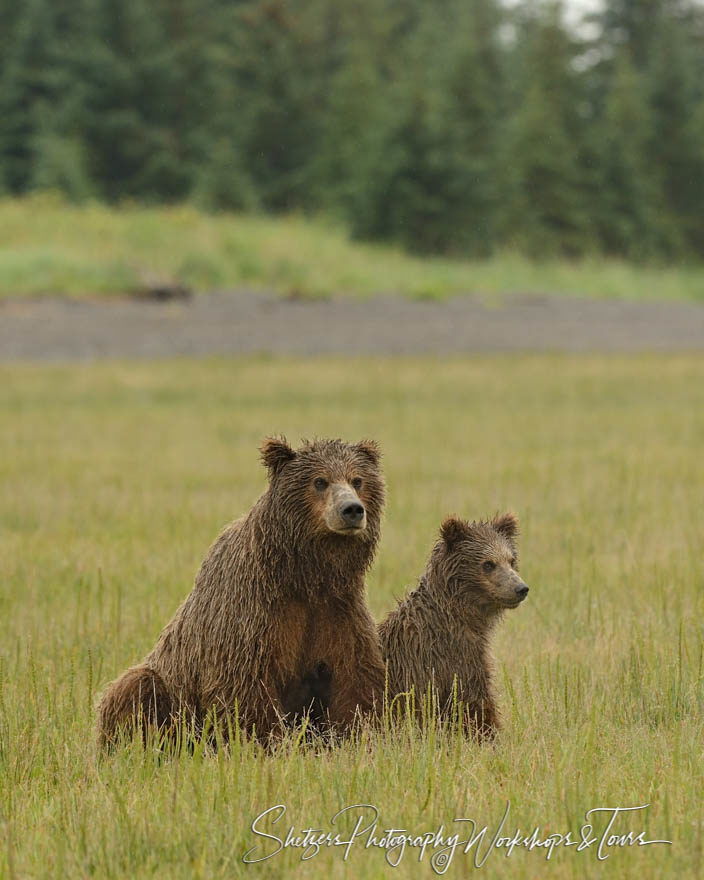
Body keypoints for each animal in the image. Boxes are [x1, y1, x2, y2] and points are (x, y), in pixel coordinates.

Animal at [96, 436, 384, 744]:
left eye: (357, 480)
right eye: (320, 481)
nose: (352, 509)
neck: (305, 576)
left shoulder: (337, 609)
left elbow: (355, 678)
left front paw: (357, 734)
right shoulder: (253, 612)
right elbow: (245, 685)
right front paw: (266, 741)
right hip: (168, 686)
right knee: (135, 688)